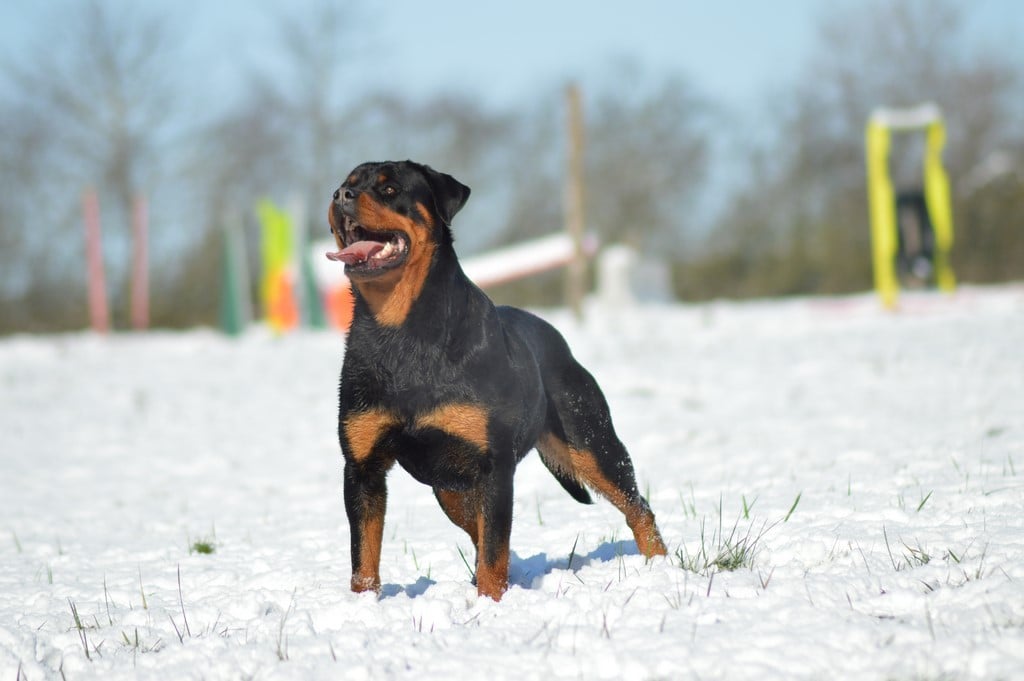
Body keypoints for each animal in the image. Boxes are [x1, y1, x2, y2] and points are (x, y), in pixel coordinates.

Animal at [323, 159, 667, 602]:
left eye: (389, 189)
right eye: (346, 185)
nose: (340, 196)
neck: (400, 331)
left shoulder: (494, 467)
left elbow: (493, 549)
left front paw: (489, 604)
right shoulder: (362, 468)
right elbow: (364, 558)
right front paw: (364, 605)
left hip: (591, 441)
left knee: (637, 506)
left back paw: (661, 564)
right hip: (451, 486)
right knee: (478, 529)